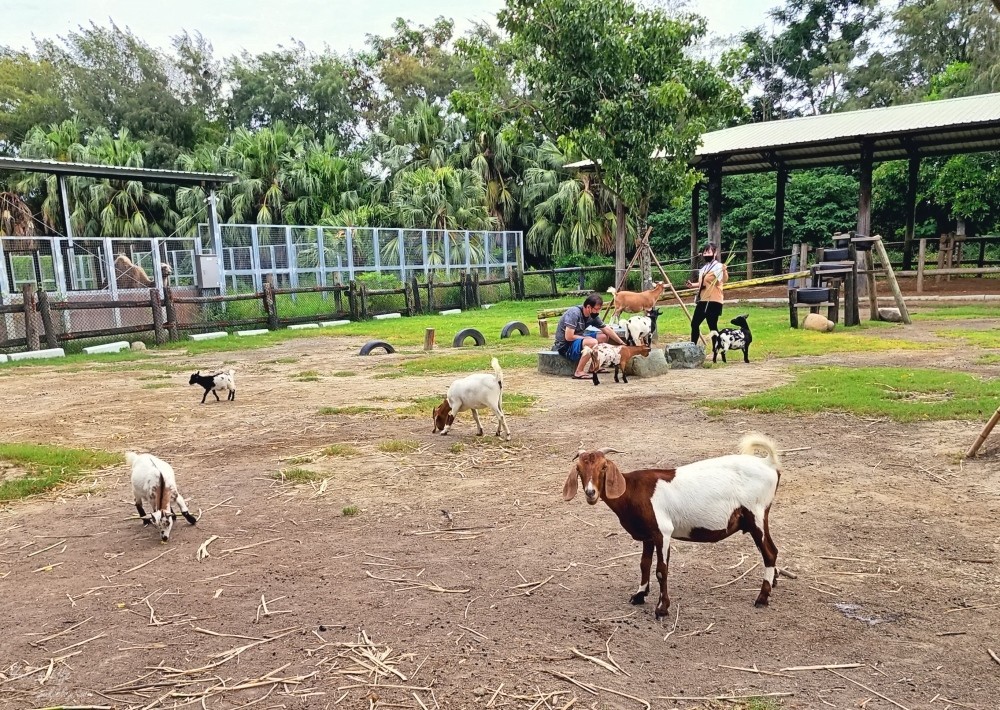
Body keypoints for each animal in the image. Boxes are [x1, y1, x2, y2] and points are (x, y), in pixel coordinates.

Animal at [564, 434, 780, 616]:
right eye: (579, 470)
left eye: (603, 467)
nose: (590, 493)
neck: (633, 490)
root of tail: (768, 464)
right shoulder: (648, 535)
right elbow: (644, 564)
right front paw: (639, 595)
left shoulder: (663, 532)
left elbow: (661, 570)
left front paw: (662, 608)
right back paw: (773, 583)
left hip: (756, 514)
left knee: (769, 552)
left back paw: (762, 598)